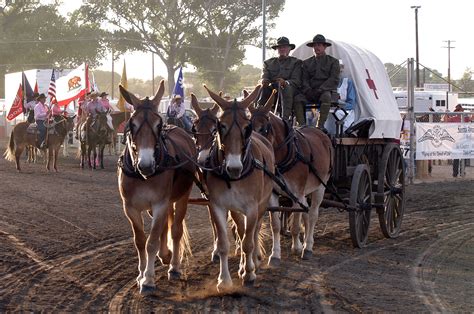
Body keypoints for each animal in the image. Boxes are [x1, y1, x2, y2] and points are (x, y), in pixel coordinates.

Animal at [117, 81, 197, 294]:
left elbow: (151, 242)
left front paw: (148, 279)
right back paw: (165, 255)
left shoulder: (160, 203)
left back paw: (174, 266)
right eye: (132, 124)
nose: (145, 164)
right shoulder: (130, 208)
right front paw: (140, 274)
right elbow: (140, 241)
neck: (143, 176)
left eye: (158, 124)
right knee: (164, 226)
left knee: (175, 229)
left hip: (182, 196)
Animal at [198, 84, 276, 292]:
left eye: (246, 127)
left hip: (262, 204)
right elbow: (225, 243)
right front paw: (224, 280)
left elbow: (249, 242)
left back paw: (253, 262)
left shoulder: (252, 208)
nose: (233, 168)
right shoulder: (218, 205)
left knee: (253, 232)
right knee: (241, 231)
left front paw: (249, 273)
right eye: (221, 126)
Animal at [248, 89, 334, 264]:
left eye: (264, 129)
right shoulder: (273, 194)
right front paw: (275, 255)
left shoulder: (297, 193)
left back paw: (308, 246)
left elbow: (295, 224)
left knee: (312, 214)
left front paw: (297, 248)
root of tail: (320, 132)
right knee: (306, 213)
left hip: (320, 186)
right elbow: (275, 225)